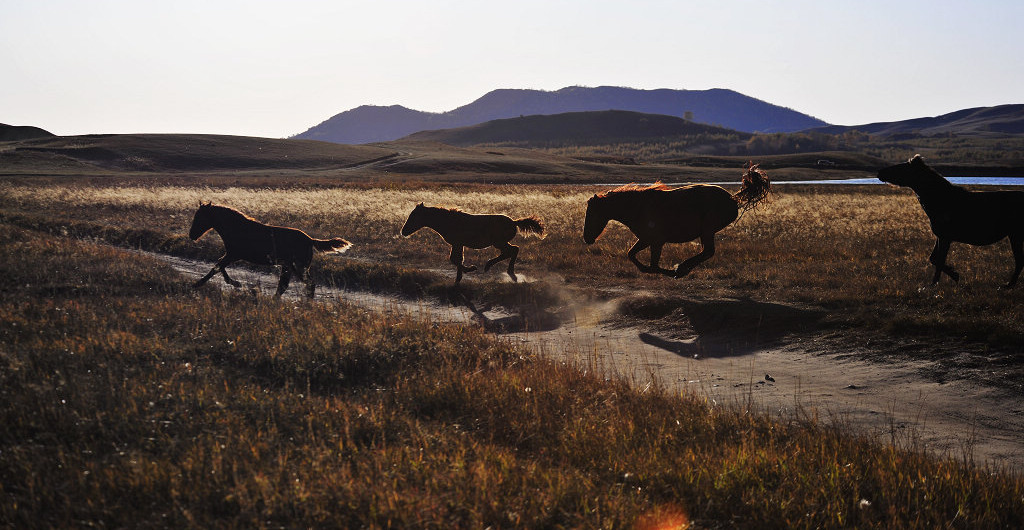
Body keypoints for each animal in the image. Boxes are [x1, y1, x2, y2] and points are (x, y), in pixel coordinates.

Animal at [188, 202, 352, 296]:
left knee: (308, 284)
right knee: (285, 286)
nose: (191, 235)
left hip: (299, 266)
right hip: (289, 266)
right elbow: (218, 266)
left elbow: (216, 268)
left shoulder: (233, 255)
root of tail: (310, 240)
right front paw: (235, 283)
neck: (238, 228)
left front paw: (197, 284)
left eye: (200, 217)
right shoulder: (231, 255)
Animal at [397, 203, 544, 284]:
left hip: (499, 242)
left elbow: (455, 259)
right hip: (500, 243)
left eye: (413, 216)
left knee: (513, 250)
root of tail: (514, 222)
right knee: (511, 251)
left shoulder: (457, 243)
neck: (447, 221)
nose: (403, 231)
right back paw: (501, 270)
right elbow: (456, 259)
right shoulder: (457, 244)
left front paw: (470, 269)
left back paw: (500, 270)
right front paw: (459, 277)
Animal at [581, 161, 770, 278]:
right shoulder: (646, 239)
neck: (638, 207)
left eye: (591, 214)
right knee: (706, 252)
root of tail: (732, 198)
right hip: (706, 233)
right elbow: (632, 255)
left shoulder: (656, 241)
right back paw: (684, 268)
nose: (586, 238)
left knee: (708, 251)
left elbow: (653, 266)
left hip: (707, 230)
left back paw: (682, 268)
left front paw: (674, 272)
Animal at [876, 154, 1024, 286]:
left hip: (1016, 234)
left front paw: (935, 284)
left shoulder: (945, 237)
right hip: (1014, 235)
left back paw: (1009, 284)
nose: (879, 172)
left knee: (1019, 261)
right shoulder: (940, 235)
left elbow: (939, 261)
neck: (935, 201)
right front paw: (955, 275)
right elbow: (933, 258)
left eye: (901, 167)